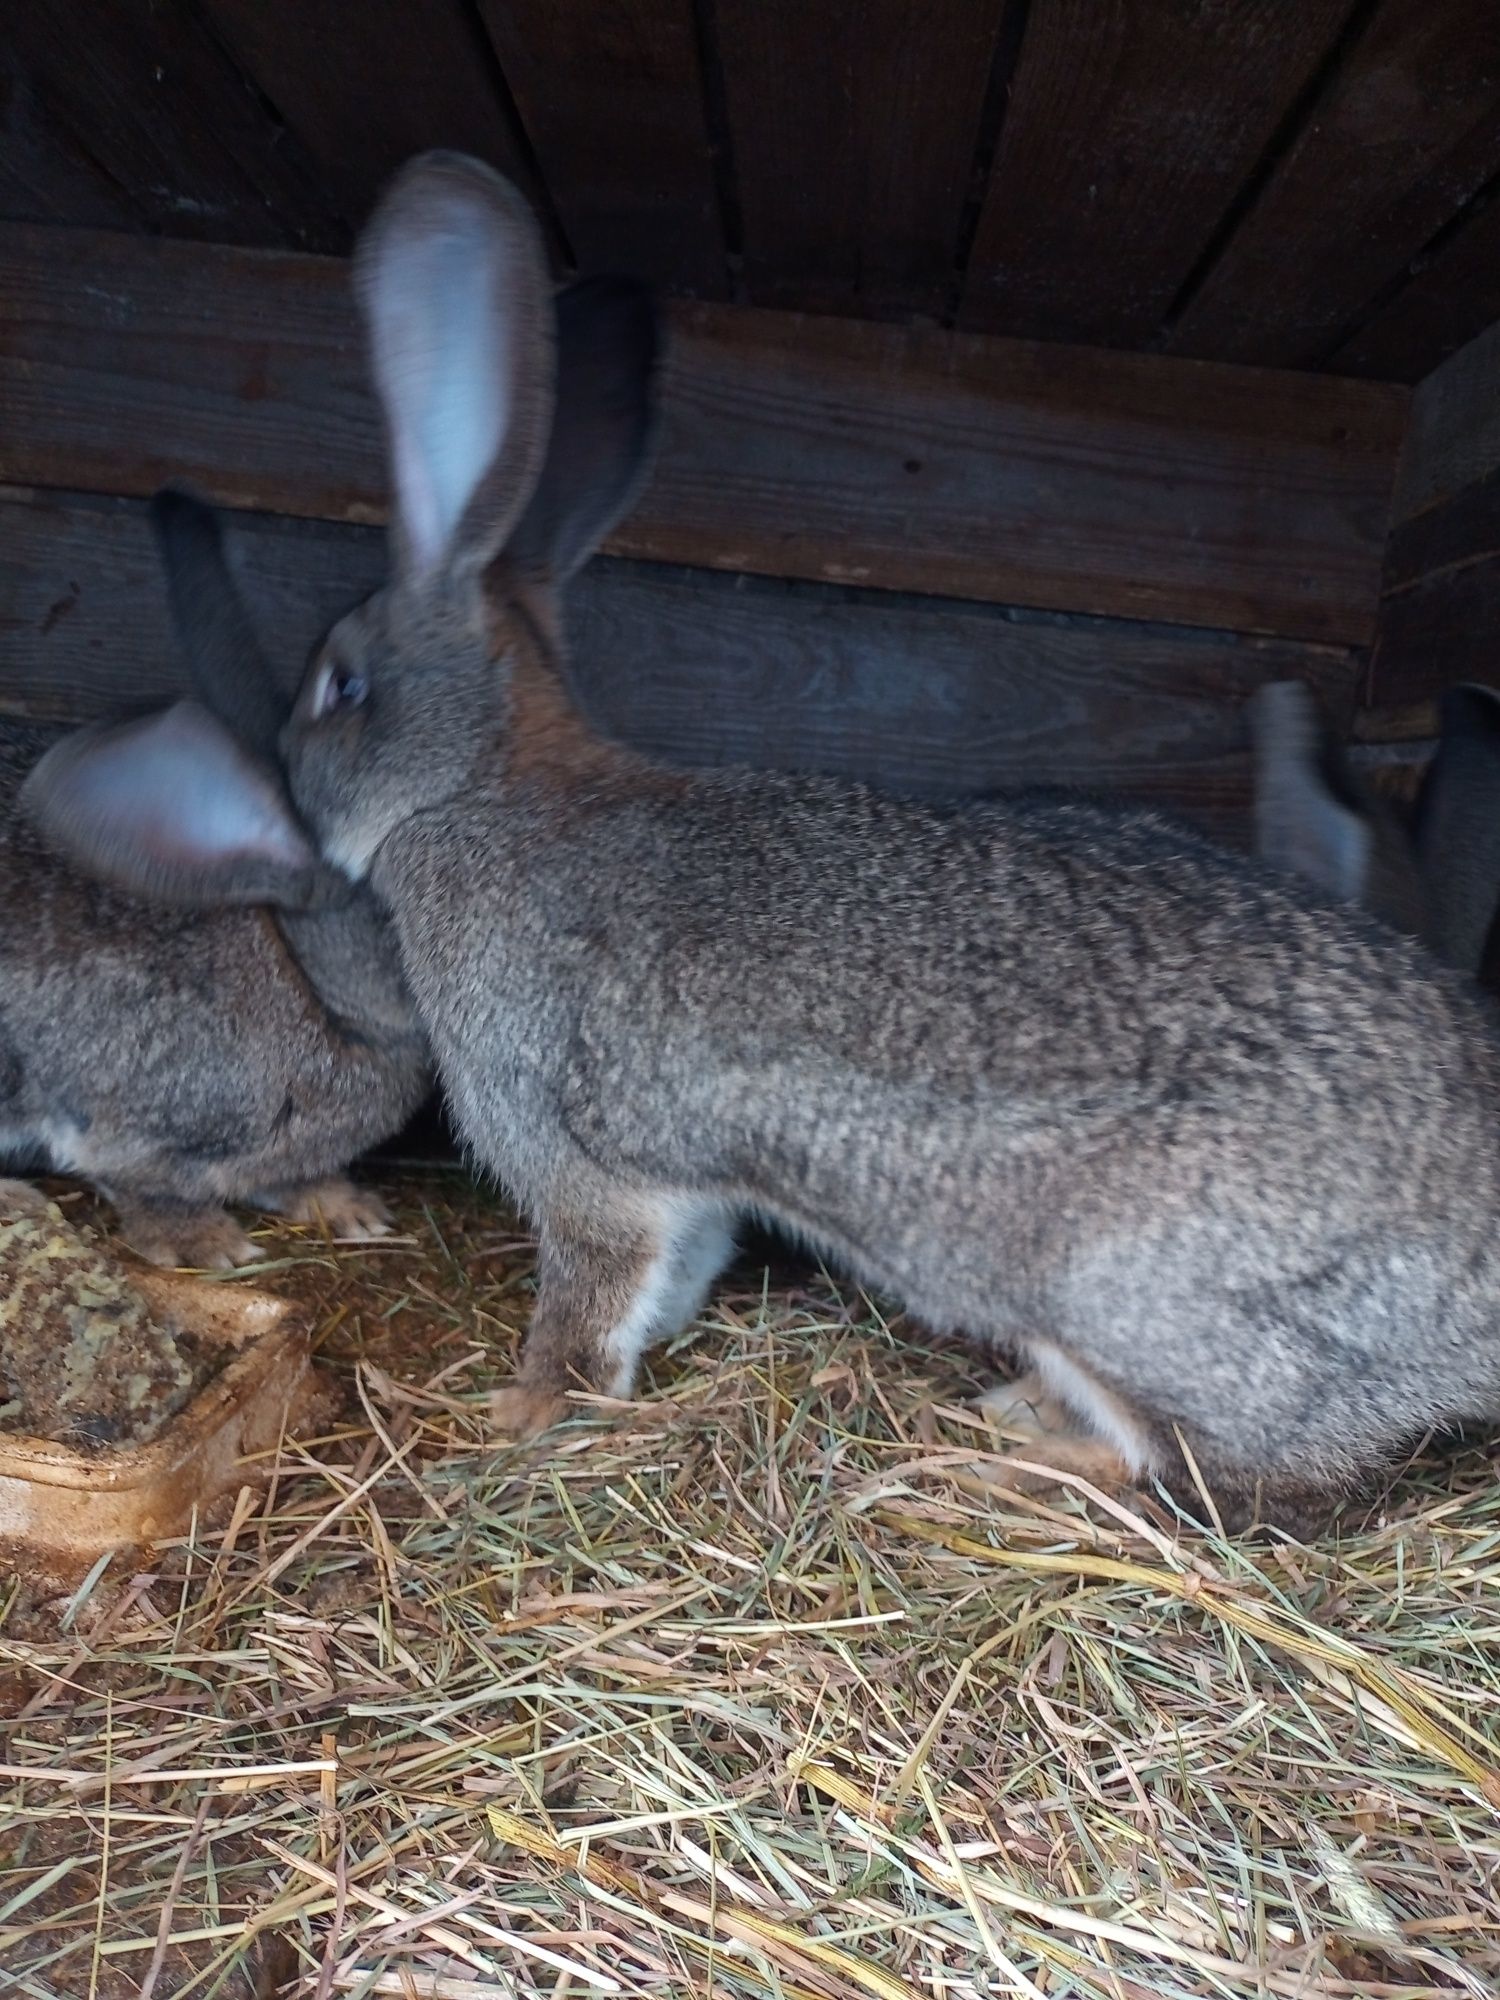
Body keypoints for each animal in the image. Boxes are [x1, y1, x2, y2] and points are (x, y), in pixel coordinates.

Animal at [26, 152, 1500, 1528]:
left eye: (338, 684)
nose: (284, 767)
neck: (478, 789)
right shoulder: (681, 1192)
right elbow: (667, 1276)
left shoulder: (569, 1149)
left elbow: (587, 1294)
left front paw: (518, 1411)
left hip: (1133, 1306)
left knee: (1192, 1477)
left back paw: (1002, 1459)